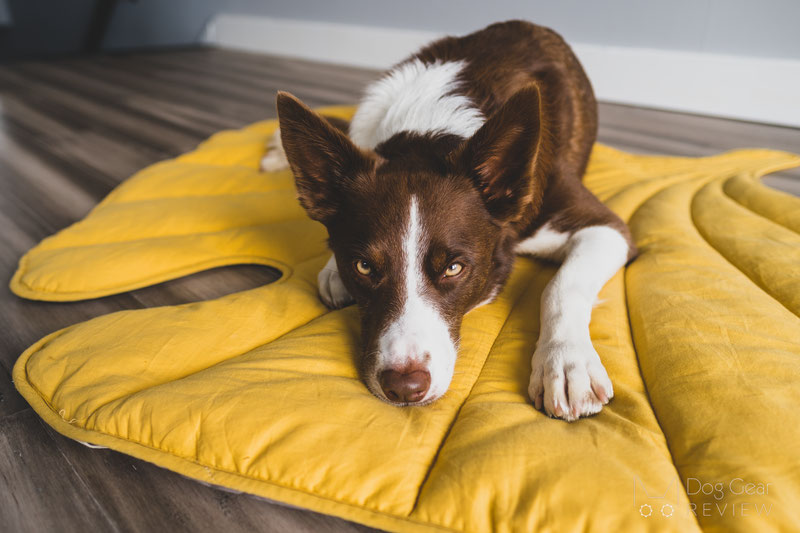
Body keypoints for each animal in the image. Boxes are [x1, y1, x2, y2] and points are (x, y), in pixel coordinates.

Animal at [262, 19, 636, 420]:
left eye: (454, 268)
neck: (425, 133)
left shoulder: (602, 225)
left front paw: (567, 363)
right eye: (363, 267)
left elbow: (560, 286)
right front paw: (333, 268)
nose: (404, 388)